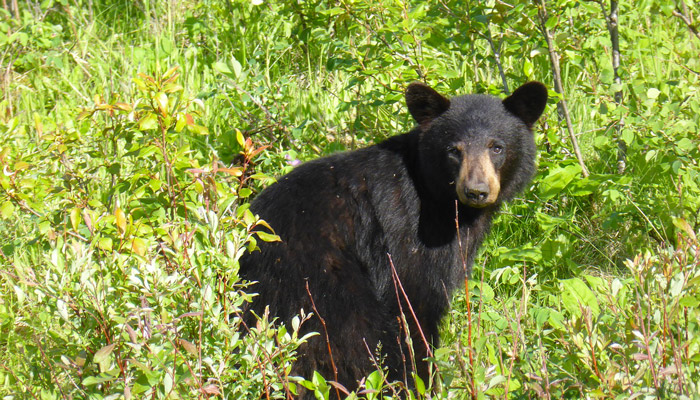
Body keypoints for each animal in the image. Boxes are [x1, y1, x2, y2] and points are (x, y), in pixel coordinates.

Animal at [239, 81, 548, 396]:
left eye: (497, 147)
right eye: (454, 150)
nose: (476, 191)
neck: (437, 198)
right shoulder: (408, 235)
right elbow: (415, 305)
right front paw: (424, 383)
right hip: (322, 289)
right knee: (357, 339)